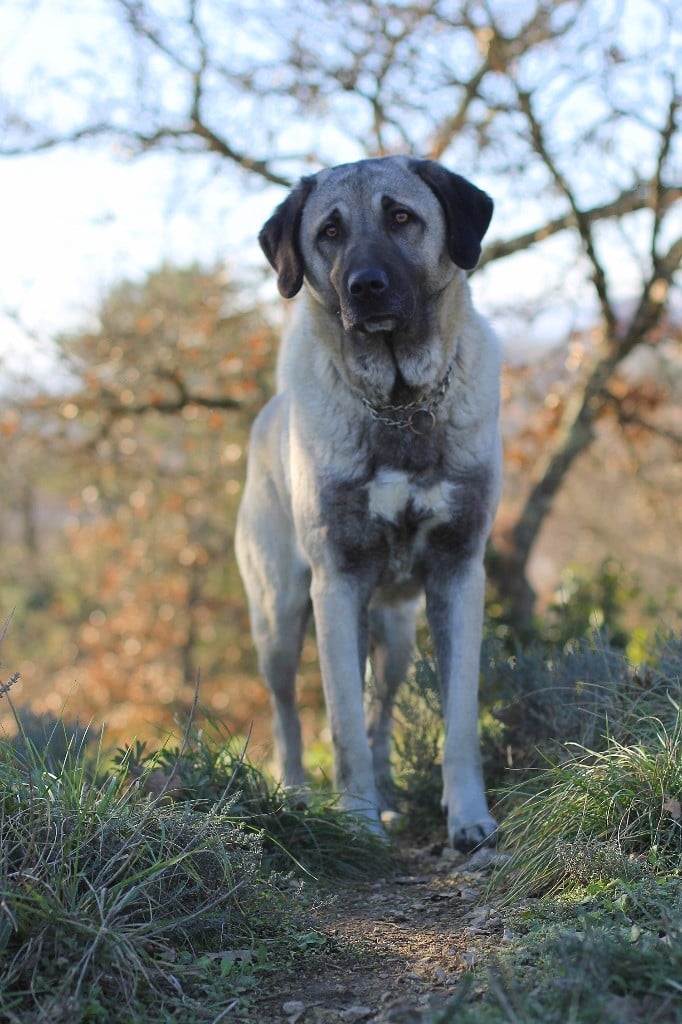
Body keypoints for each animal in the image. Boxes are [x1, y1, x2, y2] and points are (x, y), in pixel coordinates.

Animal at [236, 157, 501, 847]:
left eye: (401, 217)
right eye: (329, 232)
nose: (365, 287)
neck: (400, 406)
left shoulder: (457, 575)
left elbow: (457, 721)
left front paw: (469, 818)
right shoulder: (337, 586)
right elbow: (342, 728)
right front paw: (355, 825)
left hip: (397, 639)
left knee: (381, 714)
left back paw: (386, 799)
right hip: (279, 622)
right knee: (290, 717)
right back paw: (301, 798)